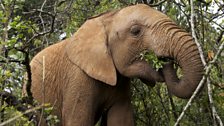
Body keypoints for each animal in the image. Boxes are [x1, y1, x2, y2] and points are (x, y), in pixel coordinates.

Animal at [30, 3, 205, 126]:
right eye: (135, 31)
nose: (164, 60)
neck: (104, 20)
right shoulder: (78, 78)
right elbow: (78, 121)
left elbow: (122, 120)